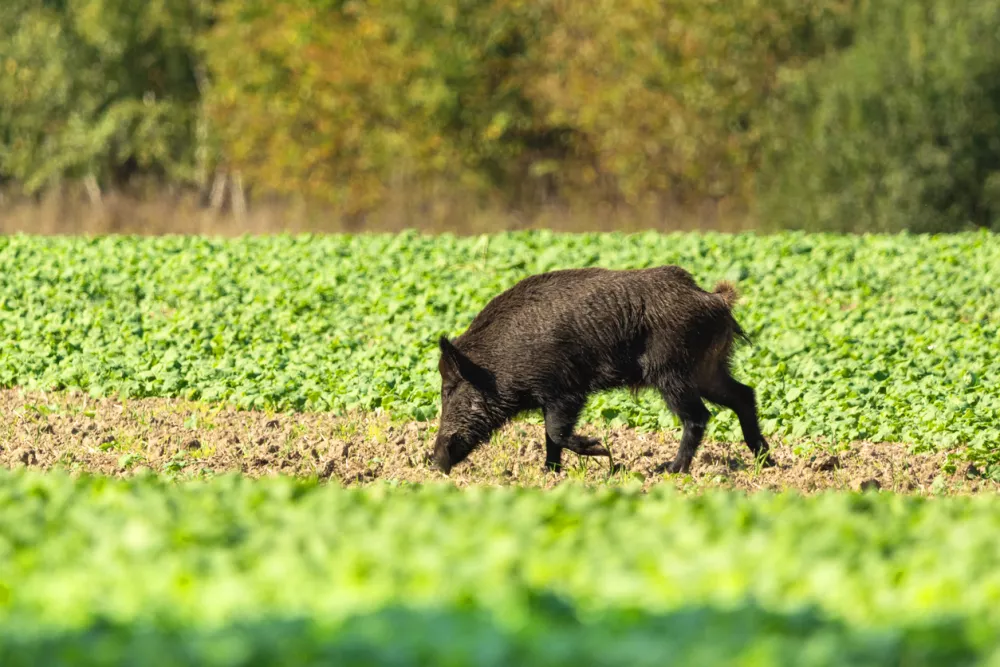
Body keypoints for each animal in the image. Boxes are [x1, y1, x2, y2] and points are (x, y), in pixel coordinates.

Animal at [431, 265, 774, 475]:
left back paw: (669, 469)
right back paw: (766, 461)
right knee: (744, 395)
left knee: (699, 416)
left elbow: (555, 431)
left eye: (448, 390)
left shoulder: (566, 391)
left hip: (672, 373)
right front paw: (549, 472)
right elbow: (550, 437)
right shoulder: (551, 397)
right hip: (707, 369)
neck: (498, 365)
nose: (435, 461)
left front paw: (602, 453)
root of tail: (715, 299)